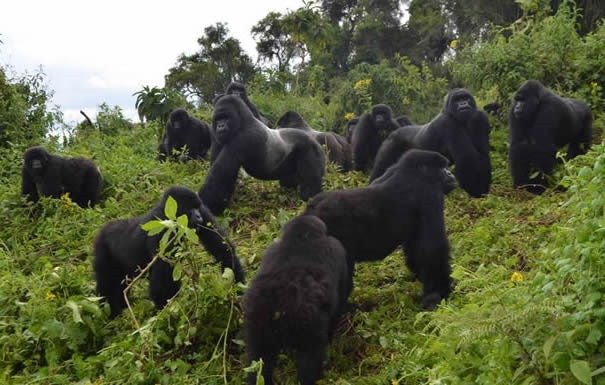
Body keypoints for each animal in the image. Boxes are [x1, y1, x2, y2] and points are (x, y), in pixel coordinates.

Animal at [93, 184, 244, 316]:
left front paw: (238, 287)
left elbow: (222, 249)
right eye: (190, 208)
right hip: (101, 247)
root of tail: (102, 230)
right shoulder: (163, 232)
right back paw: (111, 314)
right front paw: (166, 313)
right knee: (106, 283)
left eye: (197, 207)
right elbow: (162, 280)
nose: (198, 216)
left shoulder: (204, 212)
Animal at [243, 214, 350, 384]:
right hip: (307, 327)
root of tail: (278, 307)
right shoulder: (337, 248)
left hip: (258, 321)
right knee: (310, 359)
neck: (300, 238)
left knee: (258, 360)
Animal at [304, 148, 456, 310]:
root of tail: (311, 210)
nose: (451, 174)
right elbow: (433, 249)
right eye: (442, 169)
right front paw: (438, 294)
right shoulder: (430, 194)